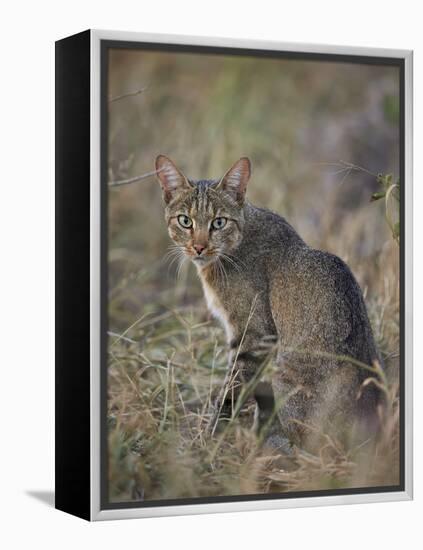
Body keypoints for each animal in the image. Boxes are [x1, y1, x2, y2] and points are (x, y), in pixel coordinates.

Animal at [156, 154, 384, 452]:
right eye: (185, 221)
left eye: (218, 222)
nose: (199, 247)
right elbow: (259, 400)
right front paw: (255, 436)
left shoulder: (254, 336)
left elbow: (231, 392)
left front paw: (211, 439)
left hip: (285, 374)